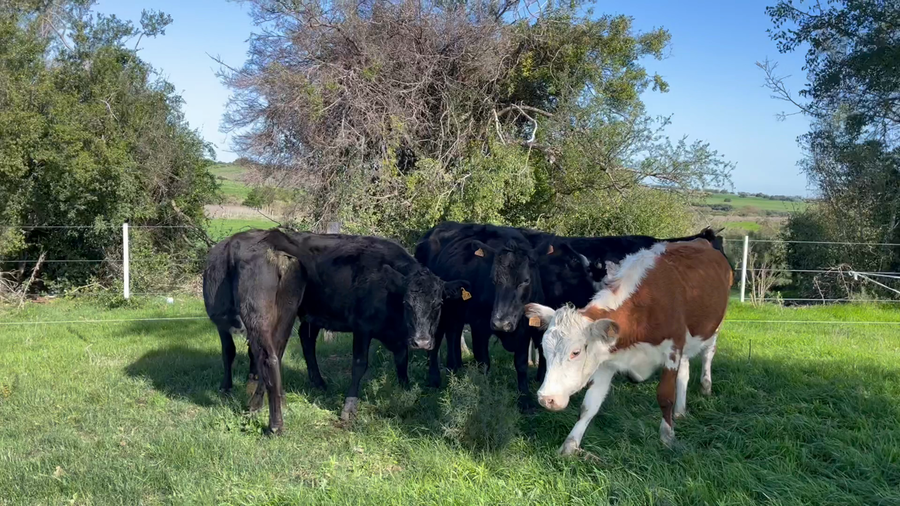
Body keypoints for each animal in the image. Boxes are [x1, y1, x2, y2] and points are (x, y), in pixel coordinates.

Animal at [203, 228, 468, 433]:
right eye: (407, 303)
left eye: (439, 304)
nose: (422, 342)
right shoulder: (362, 327)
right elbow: (359, 364)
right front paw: (349, 408)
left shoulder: (401, 337)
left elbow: (402, 362)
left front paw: (404, 392)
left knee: (294, 345)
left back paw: (311, 385)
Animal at [524, 239, 732, 455]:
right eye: (545, 350)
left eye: (576, 352)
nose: (546, 398)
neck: (643, 310)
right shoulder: (606, 361)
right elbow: (589, 405)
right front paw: (570, 445)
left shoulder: (672, 350)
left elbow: (665, 396)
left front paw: (667, 437)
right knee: (685, 370)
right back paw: (680, 411)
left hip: (715, 327)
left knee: (708, 354)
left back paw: (705, 386)